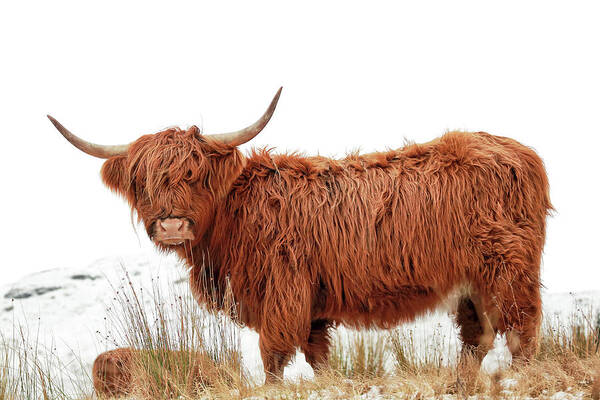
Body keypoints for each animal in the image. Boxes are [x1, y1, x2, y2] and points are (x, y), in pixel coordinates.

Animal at [49, 89, 552, 382]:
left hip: (507, 269)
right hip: (470, 283)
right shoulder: (312, 304)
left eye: (194, 175)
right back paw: (460, 383)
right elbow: (317, 357)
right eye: (143, 182)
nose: (172, 225)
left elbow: (273, 355)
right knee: (478, 335)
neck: (233, 214)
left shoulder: (283, 291)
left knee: (520, 329)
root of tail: (518, 150)